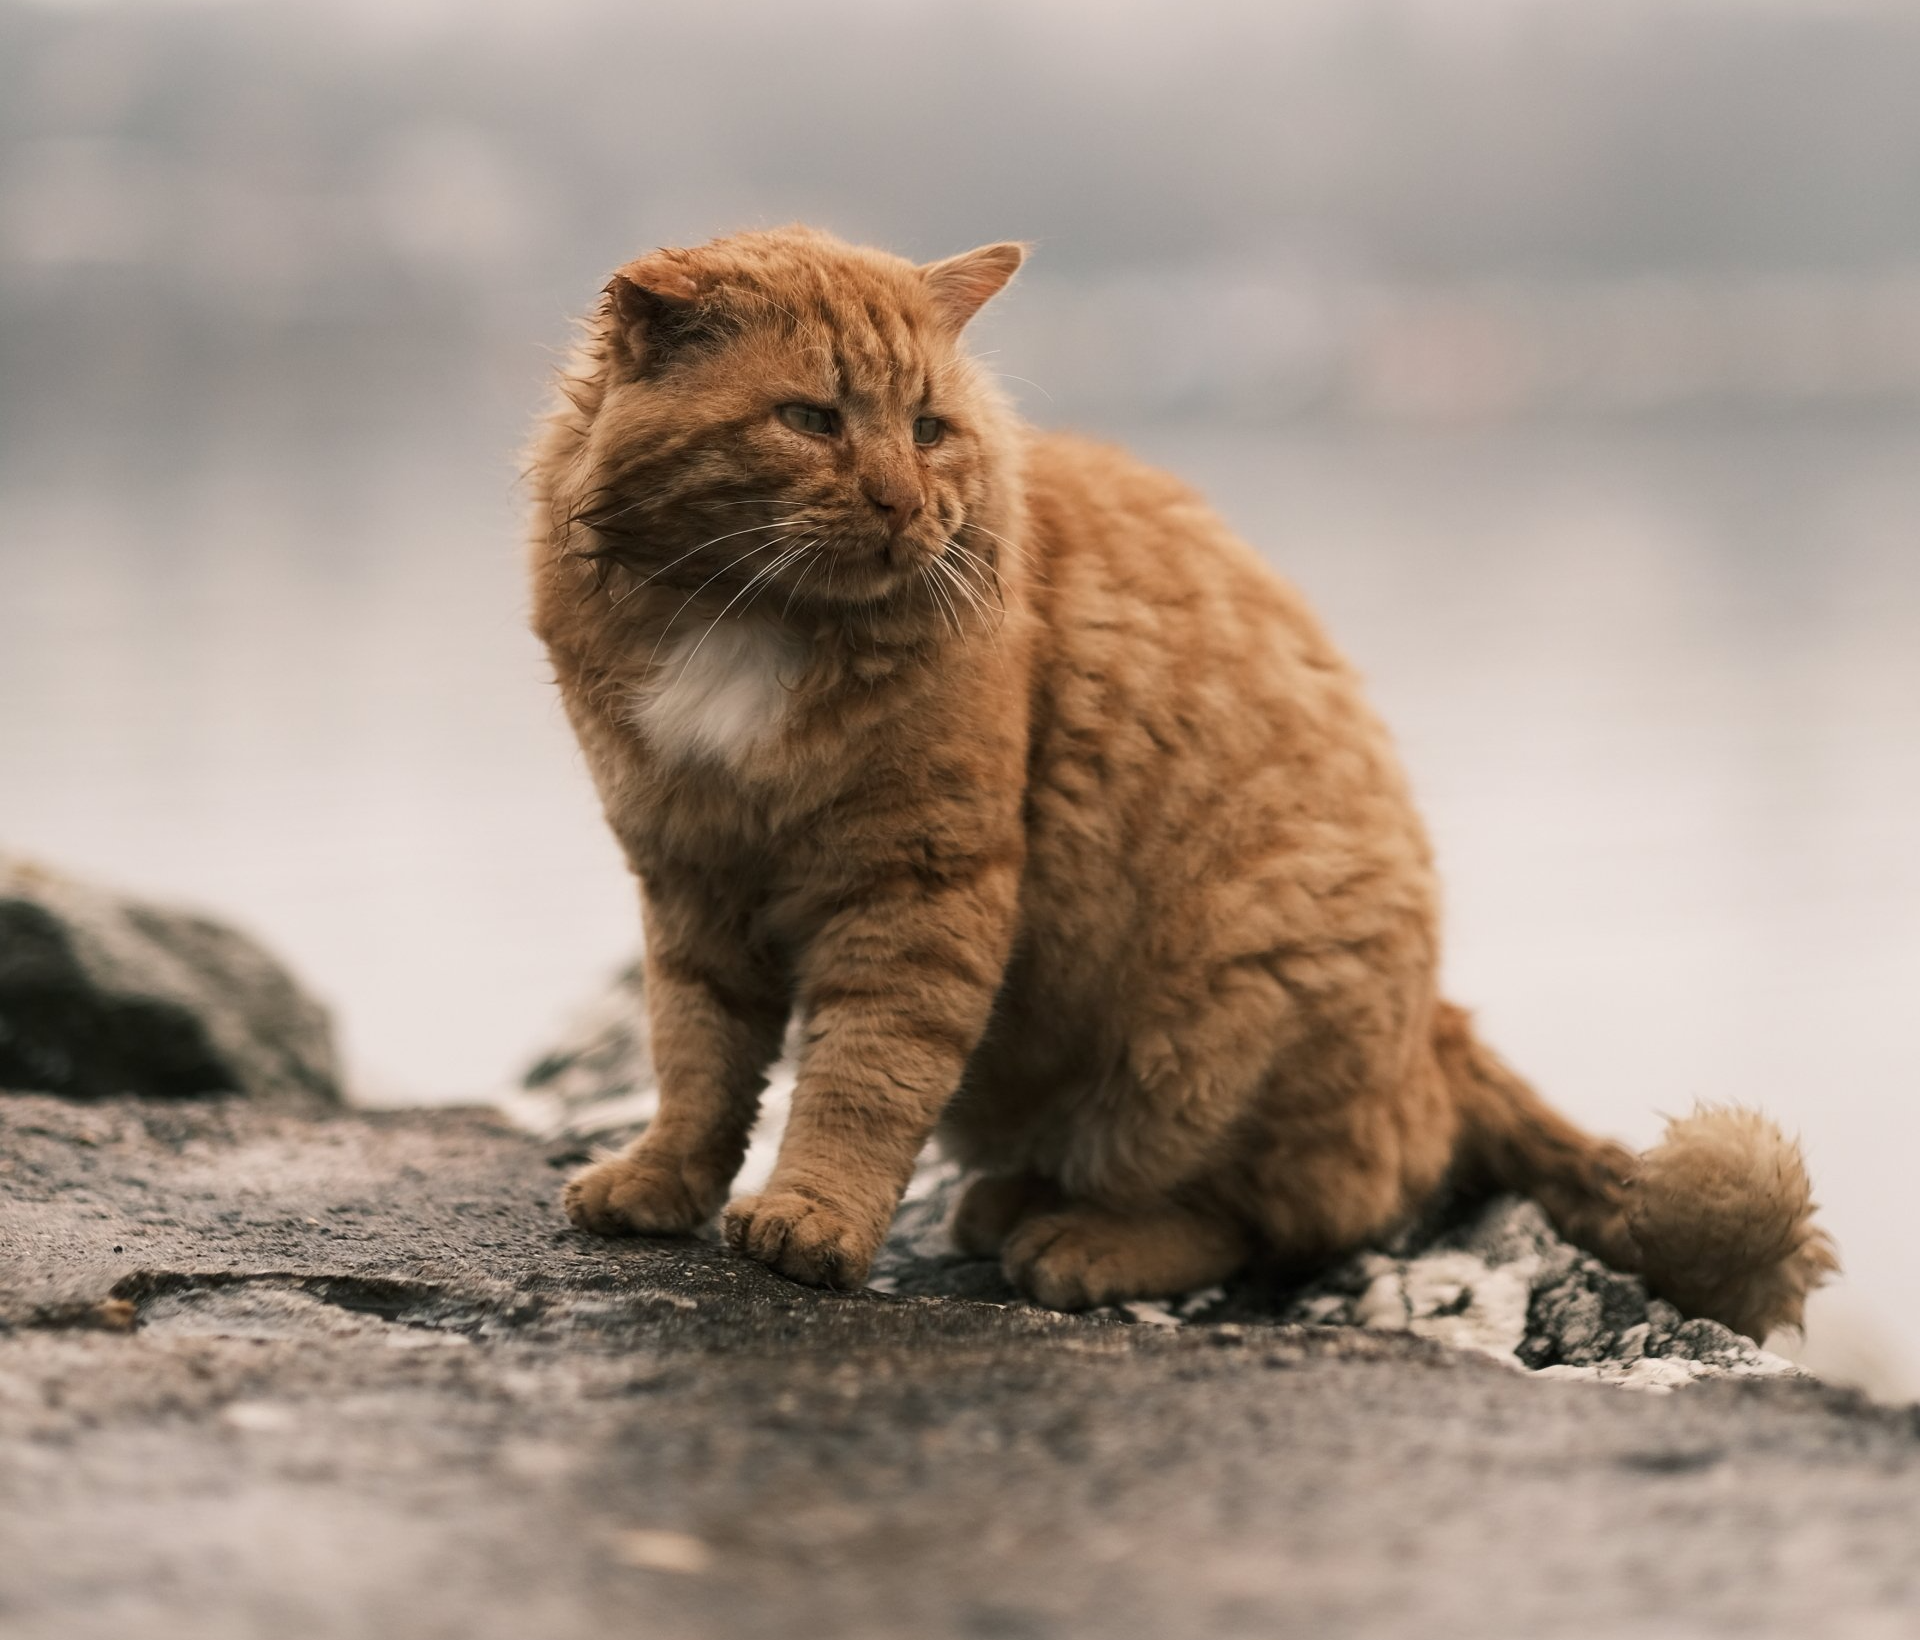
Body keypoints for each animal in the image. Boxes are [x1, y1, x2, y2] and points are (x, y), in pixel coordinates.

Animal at [522, 221, 1827, 1351]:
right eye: (810, 418)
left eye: (930, 428)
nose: (904, 501)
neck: (741, 620)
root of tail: (1439, 1025)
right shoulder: (688, 878)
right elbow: (698, 1058)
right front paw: (663, 1180)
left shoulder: (919, 890)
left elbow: (862, 1079)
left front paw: (815, 1218)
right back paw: (1012, 1200)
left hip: (1217, 1017)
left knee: (1272, 1217)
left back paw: (1080, 1241)